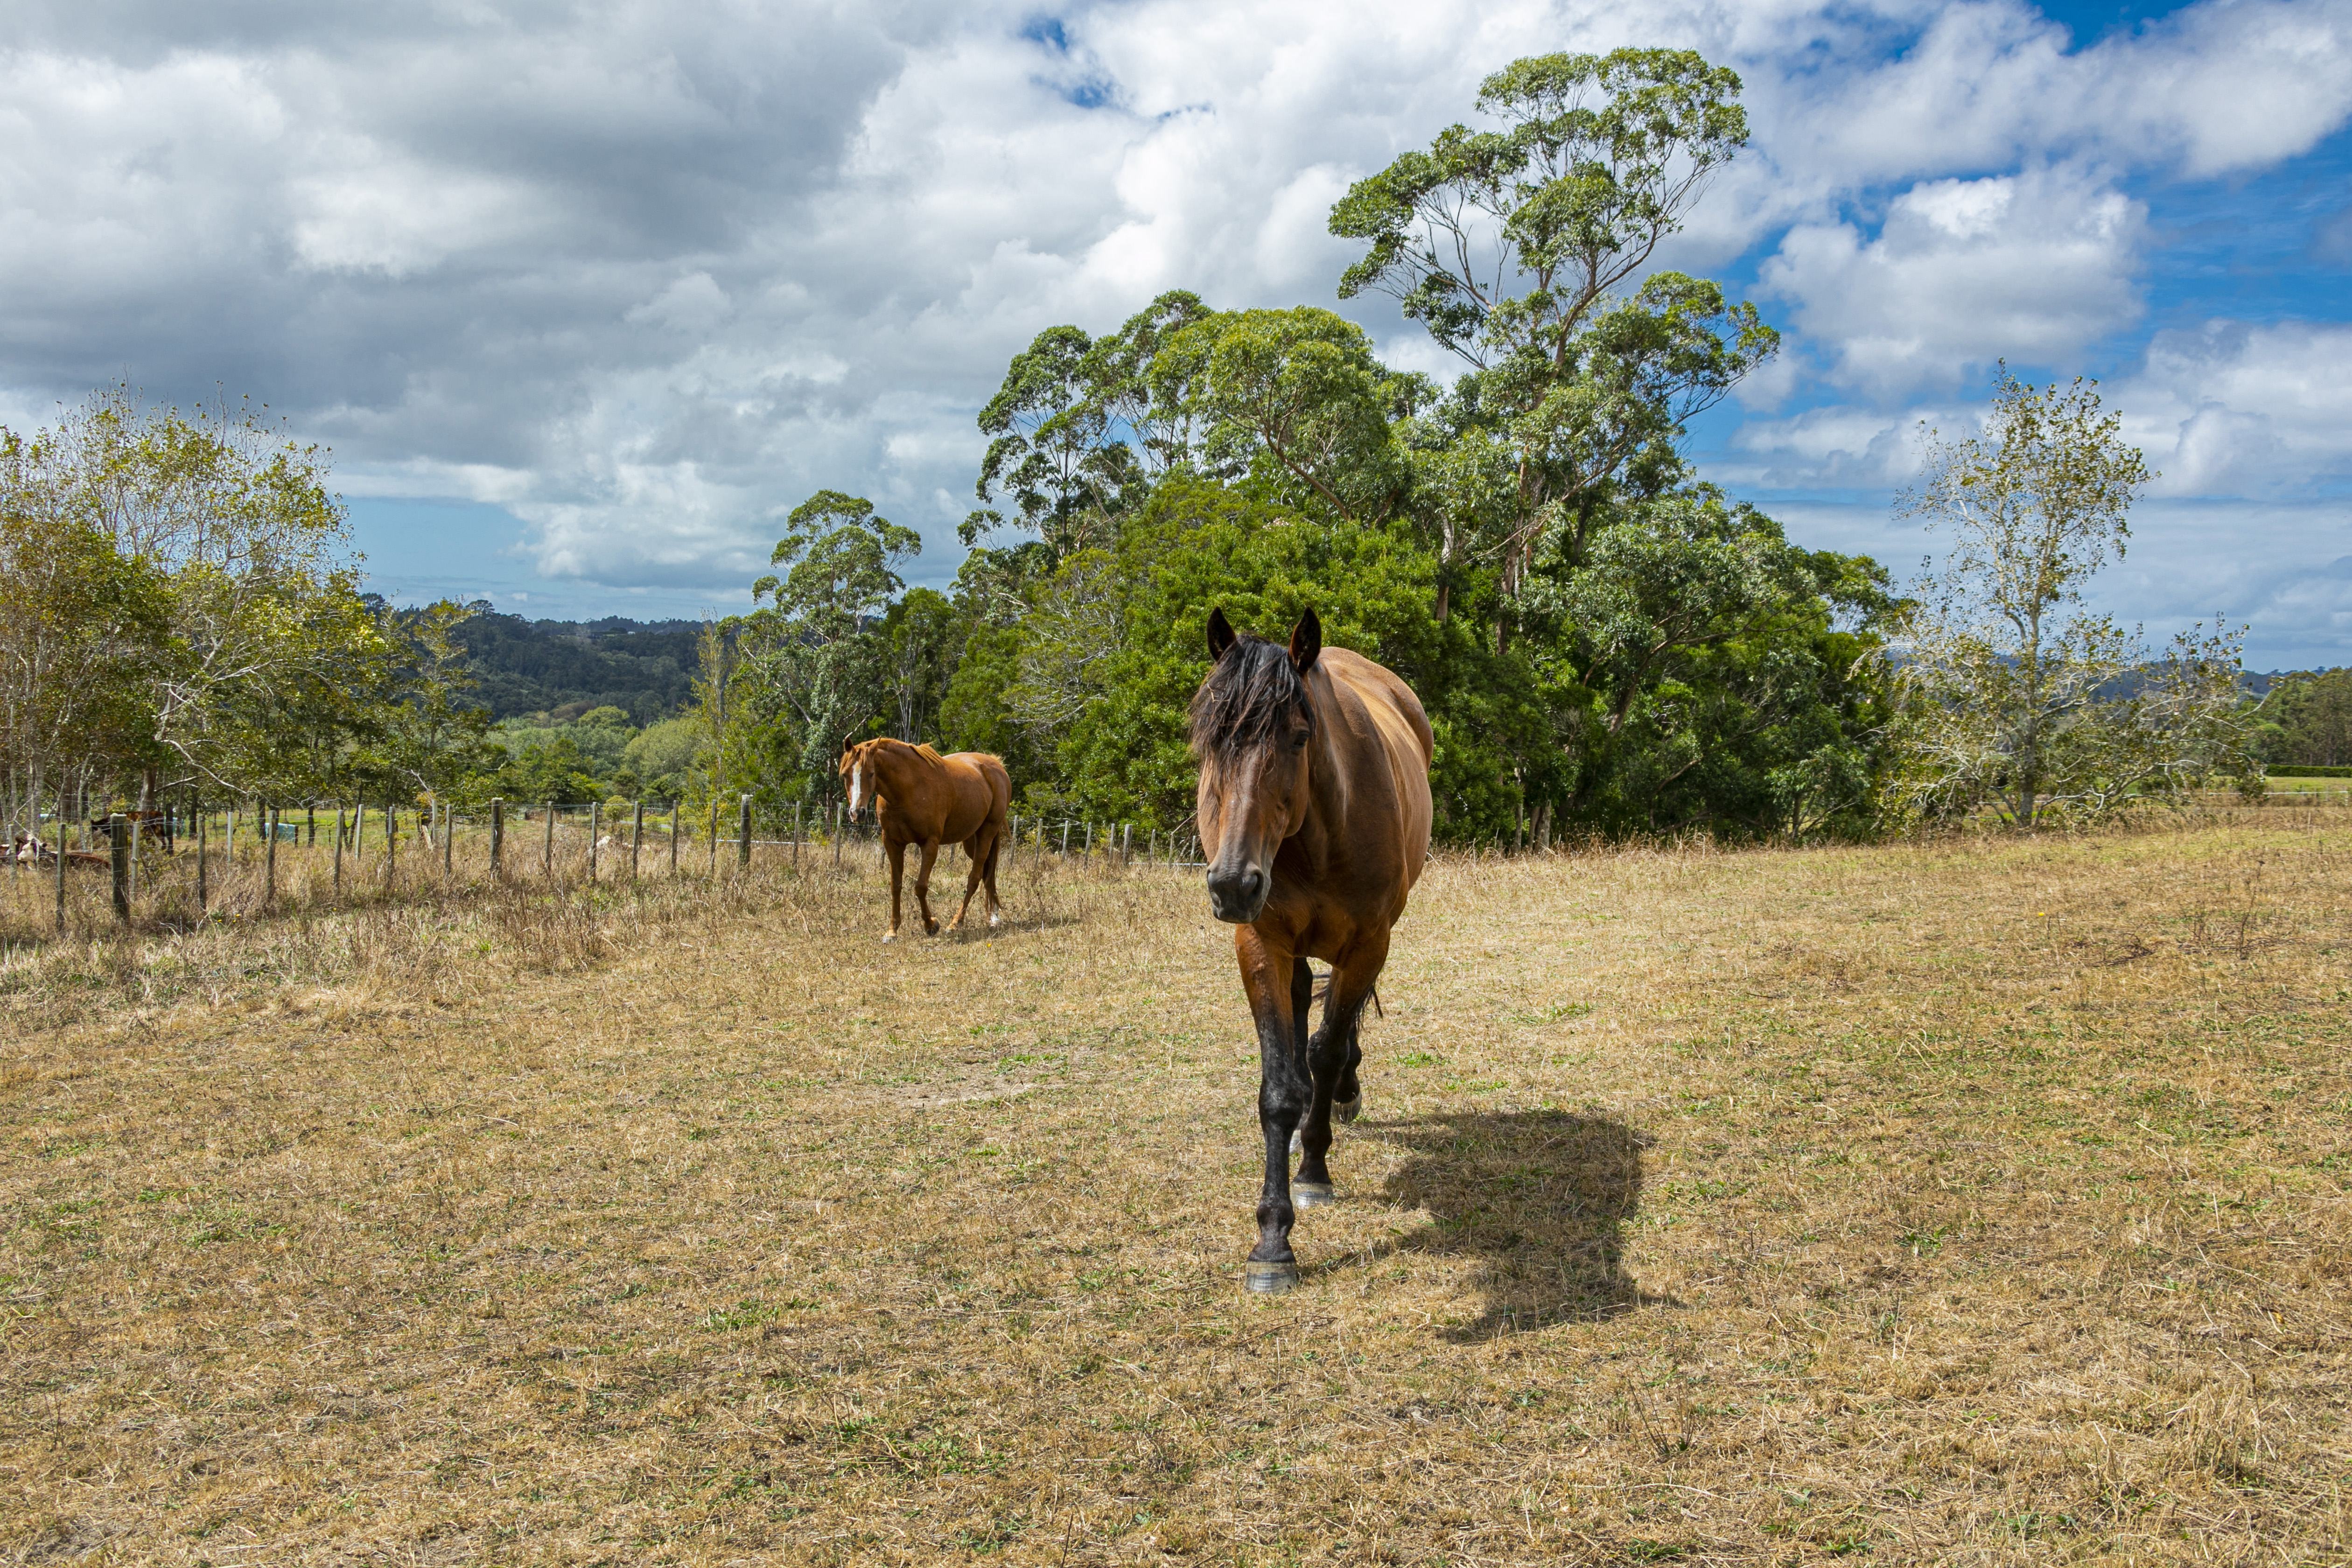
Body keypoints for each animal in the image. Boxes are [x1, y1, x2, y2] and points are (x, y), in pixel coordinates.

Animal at [837, 738, 1011, 945]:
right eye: (845, 775)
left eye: (871, 773)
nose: (857, 813)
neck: (906, 789)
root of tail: (996, 766)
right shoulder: (892, 843)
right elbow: (896, 885)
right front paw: (892, 931)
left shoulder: (930, 844)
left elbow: (920, 887)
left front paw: (931, 925)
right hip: (971, 840)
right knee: (987, 875)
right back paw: (993, 918)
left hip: (987, 833)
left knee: (974, 879)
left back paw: (956, 923)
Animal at [1195, 606, 1430, 1297]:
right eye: (1210, 739)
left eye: (1300, 737)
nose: (1232, 884)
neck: (1321, 832)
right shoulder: (1262, 945)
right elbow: (1280, 1085)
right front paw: (1272, 1242)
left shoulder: (1369, 942)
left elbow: (1325, 1052)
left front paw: (1316, 1172)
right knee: (1304, 1009)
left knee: (1335, 1030)